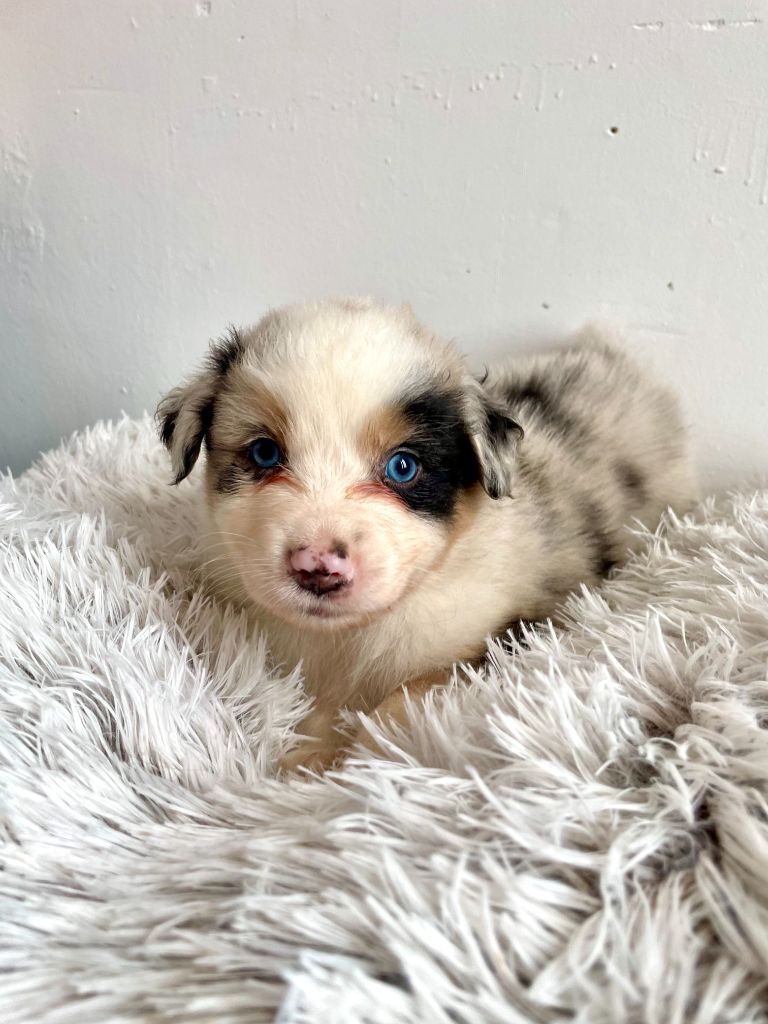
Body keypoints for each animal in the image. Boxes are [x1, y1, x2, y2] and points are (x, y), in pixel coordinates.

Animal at [157, 298, 694, 771]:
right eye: (265, 453)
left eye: (403, 466)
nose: (318, 568)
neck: (353, 636)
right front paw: (304, 757)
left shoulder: (497, 638)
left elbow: (403, 701)